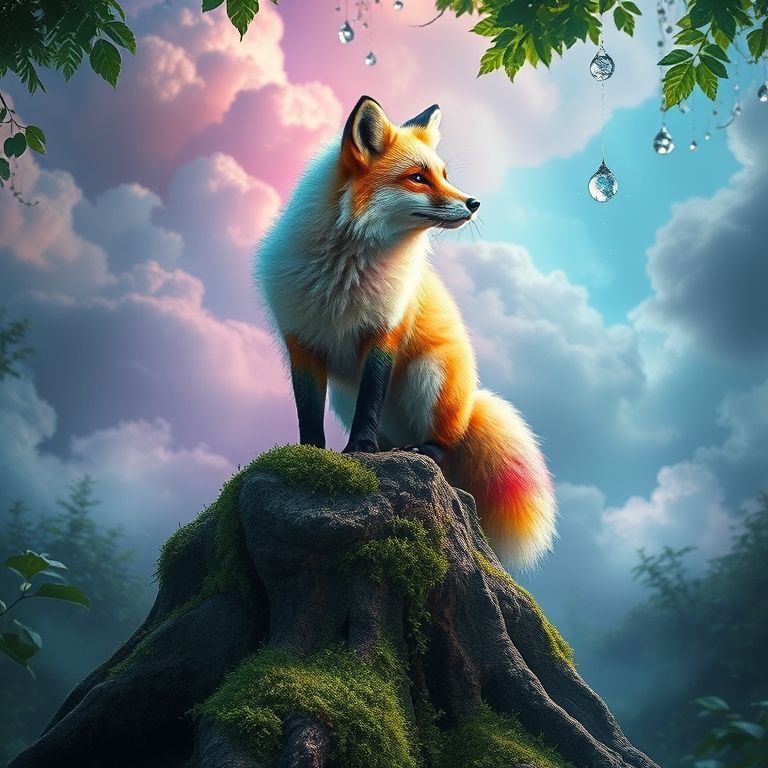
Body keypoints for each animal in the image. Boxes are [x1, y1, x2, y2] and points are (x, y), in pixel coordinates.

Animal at [254, 96, 556, 569]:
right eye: (418, 177)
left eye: (445, 175)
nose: (474, 202)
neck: (344, 273)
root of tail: (470, 402)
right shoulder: (301, 341)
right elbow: (308, 411)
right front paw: (312, 453)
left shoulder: (384, 332)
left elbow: (371, 399)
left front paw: (360, 449)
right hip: (344, 395)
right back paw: (388, 450)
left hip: (430, 375)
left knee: (444, 445)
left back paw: (419, 451)